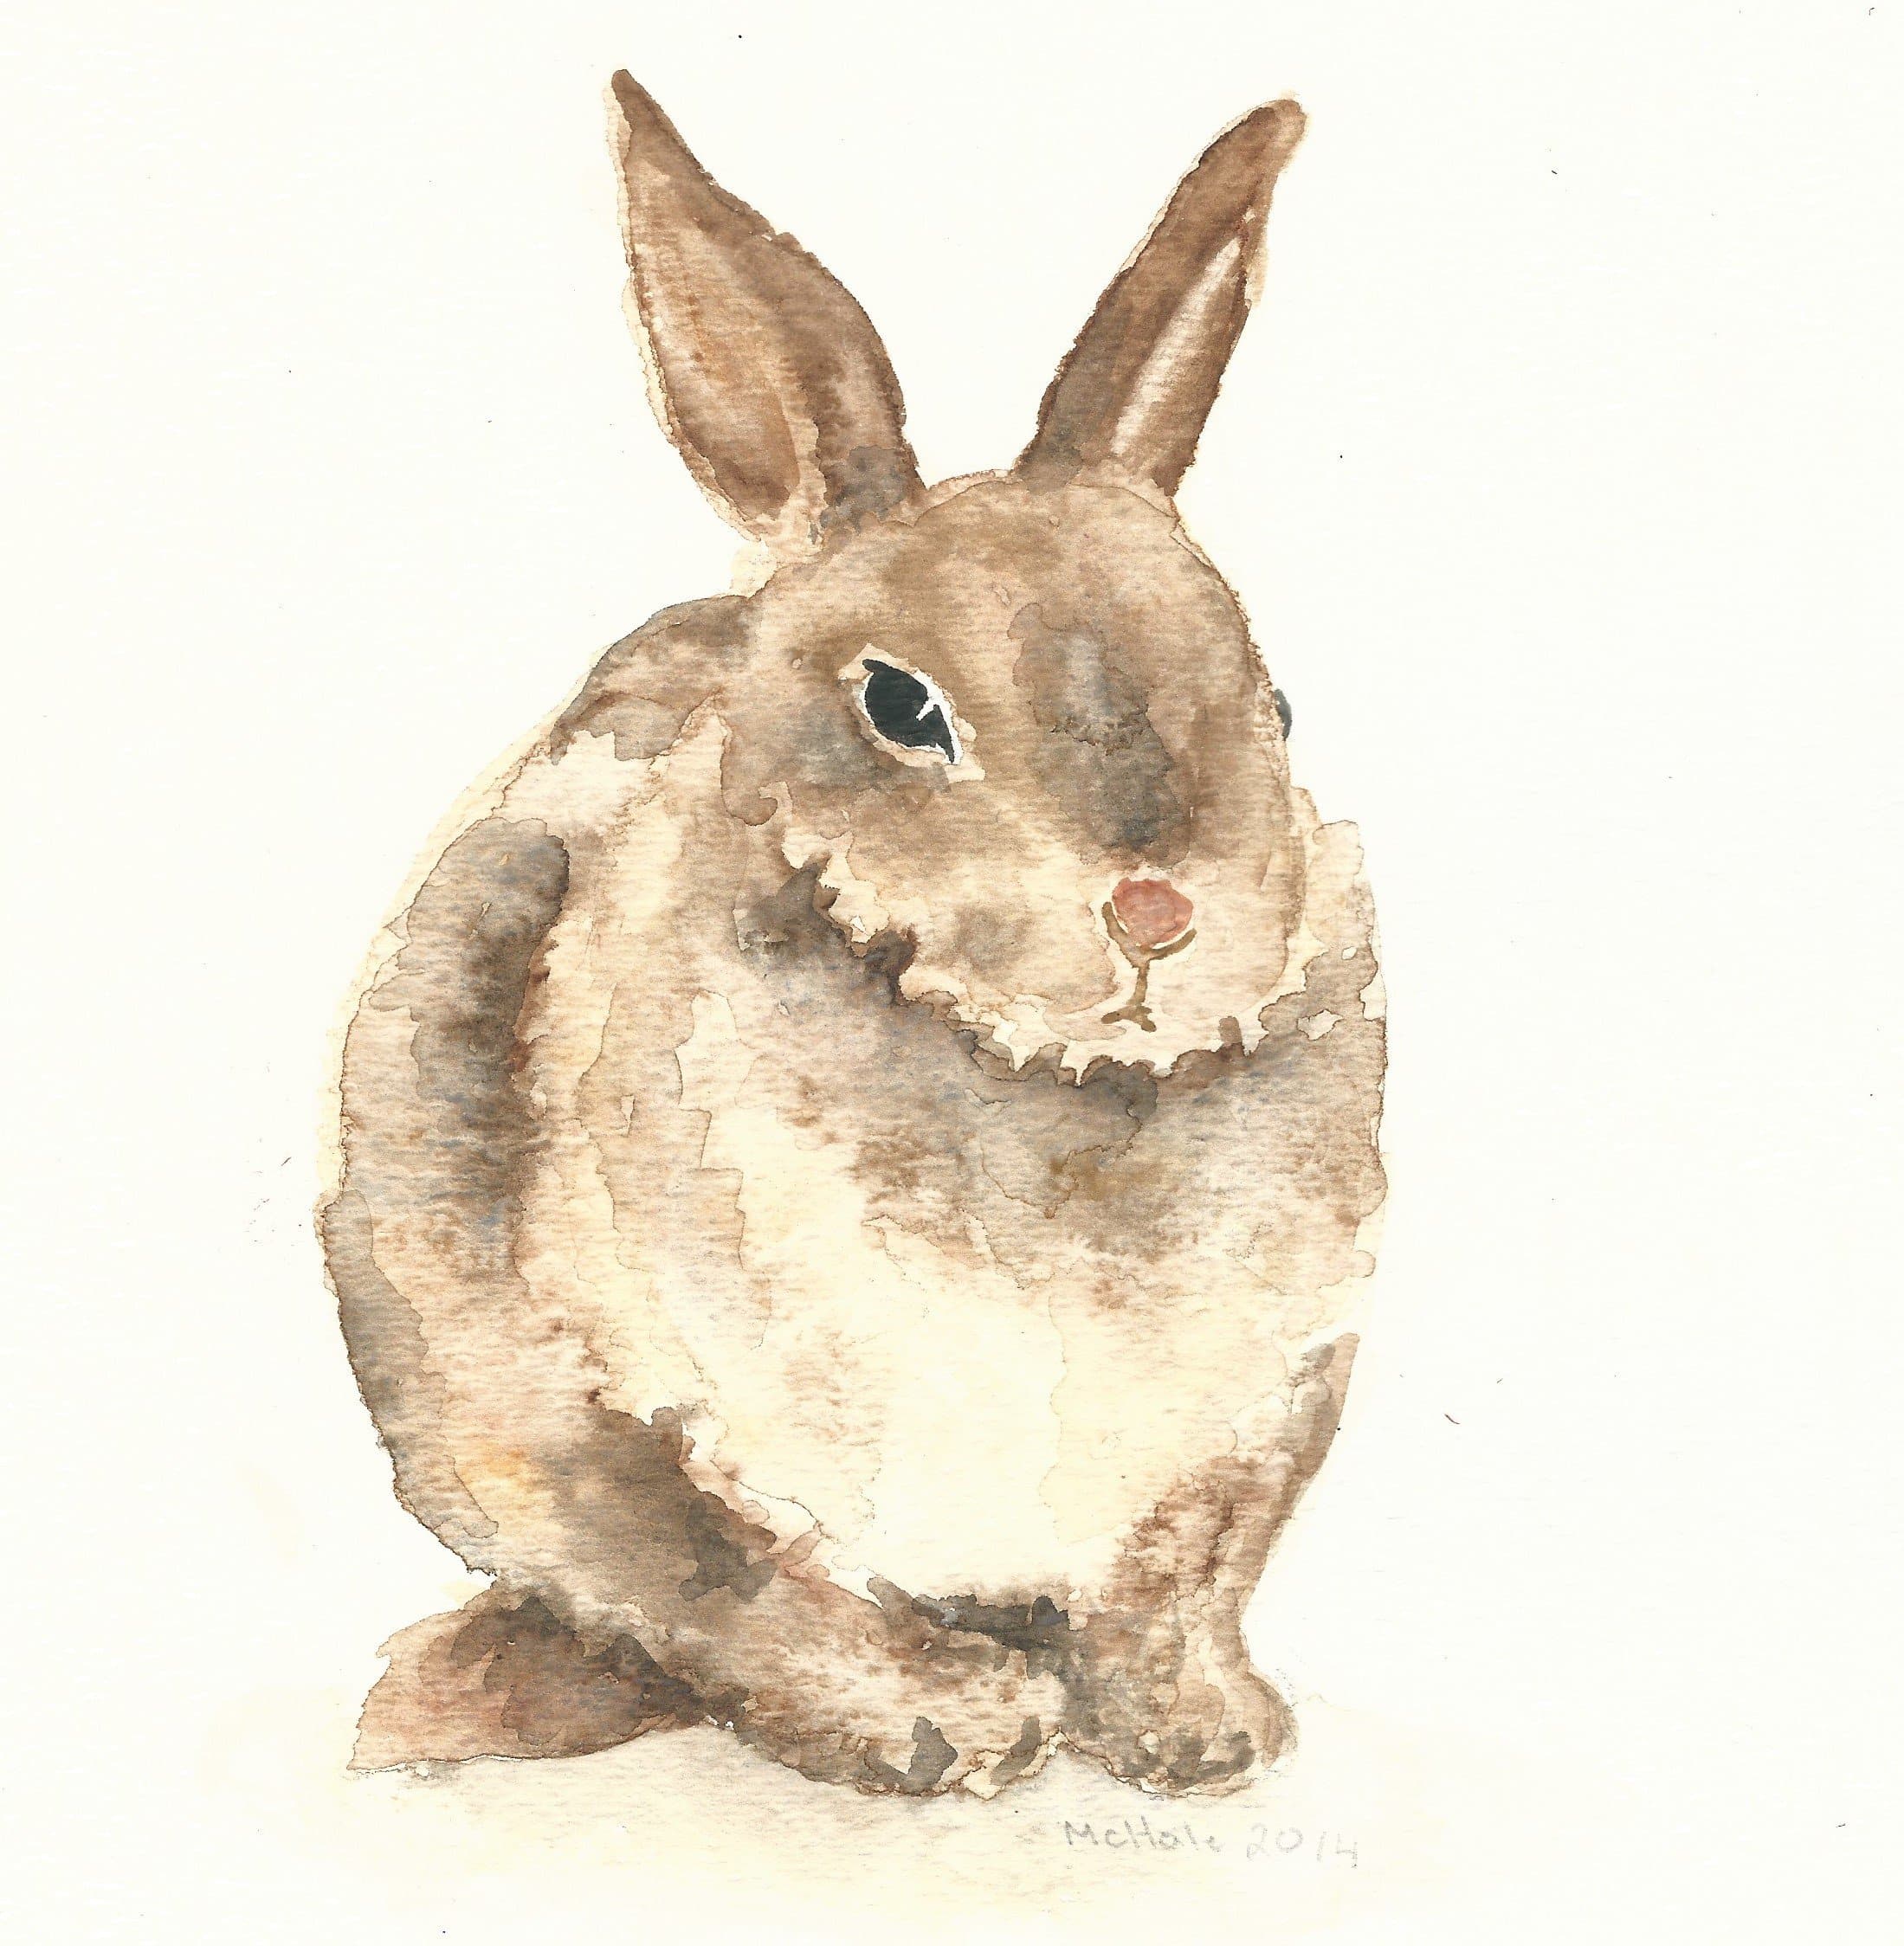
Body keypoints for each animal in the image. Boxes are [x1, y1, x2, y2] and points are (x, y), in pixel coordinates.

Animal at [321, 71, 1386, 1800]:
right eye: (898, 704)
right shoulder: (606, 1406)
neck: (1038, 1078)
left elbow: (1173, 1581)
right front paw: (949, 1726)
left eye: (1277, 703)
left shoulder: (1261, 1407)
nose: (1157, 907)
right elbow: (739, 1582)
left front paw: (1193, 1732)